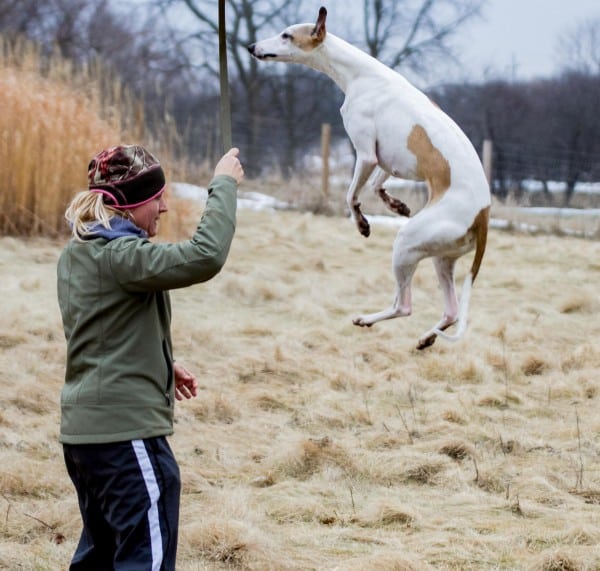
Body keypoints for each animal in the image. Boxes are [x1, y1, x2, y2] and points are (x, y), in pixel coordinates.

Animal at [246, 6, 490, 350]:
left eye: (286, 35)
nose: (252, 47)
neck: (361, 74)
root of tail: (483, 214)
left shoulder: (365, 154)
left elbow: (351, 195)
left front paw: (362, 223)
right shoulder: (389, 160)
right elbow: (377, 185)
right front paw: (397, 205)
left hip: (408, 244)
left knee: (404, 305)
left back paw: (368, 319)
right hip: (443, 258)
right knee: (451, 311)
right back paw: (427, 338)